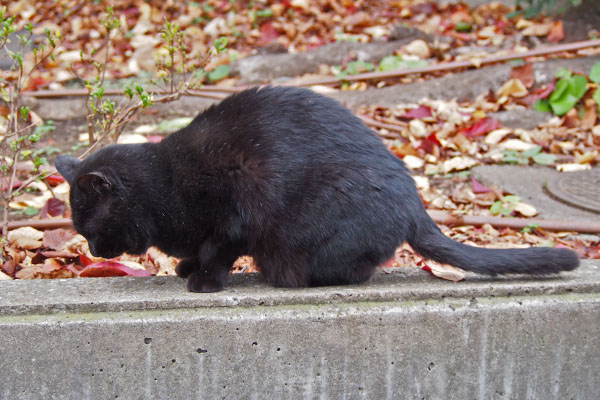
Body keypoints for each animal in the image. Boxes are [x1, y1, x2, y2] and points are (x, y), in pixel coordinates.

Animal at [56, 86, 576, 292]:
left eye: (92, 226)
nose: (95, 250)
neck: (166, 185)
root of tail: (416, 205)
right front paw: (185, 267)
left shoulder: (235, 209)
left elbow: (217, 250)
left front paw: (203, 280)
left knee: (355, 271)